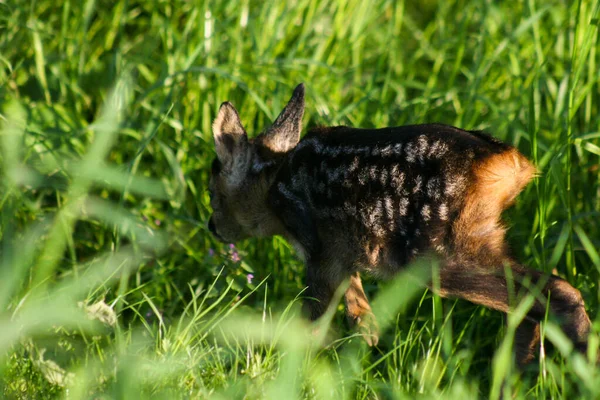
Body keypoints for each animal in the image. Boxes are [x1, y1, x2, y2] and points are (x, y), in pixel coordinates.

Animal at [206, 84, 592, 366]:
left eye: (213, 192)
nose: (212, 227)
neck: (275, 187)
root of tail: (508, 163)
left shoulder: (317, 250)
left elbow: (312, 324)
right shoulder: (343, 258)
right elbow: (364, 323)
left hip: (439, 251)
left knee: (557, 292)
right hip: (477, 237)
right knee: (528, 302)